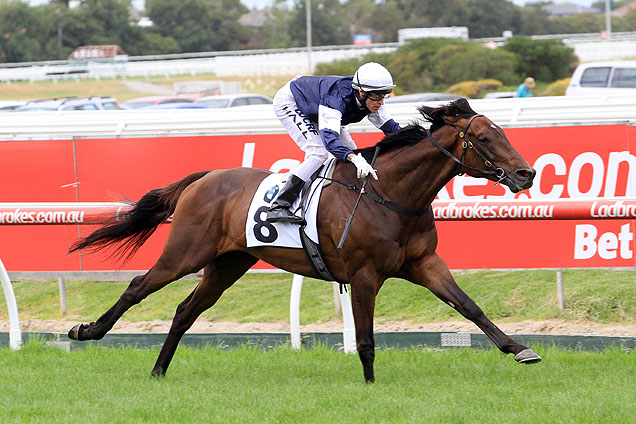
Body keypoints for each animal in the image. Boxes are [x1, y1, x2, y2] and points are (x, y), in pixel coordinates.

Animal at [67, 97, 540, 382]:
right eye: (483, 137)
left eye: (503, 132)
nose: (527, 173)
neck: (390, 193)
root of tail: (205, 177)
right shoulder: (364, 274)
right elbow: (365, 337)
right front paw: (370, 385)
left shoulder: (424, 264)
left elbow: (469, 306)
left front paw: (519, 349)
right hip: (185, 253)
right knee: (137, 287)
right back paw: (87, 331)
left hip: (229, 262)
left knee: (186, 310)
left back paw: (159, 371)